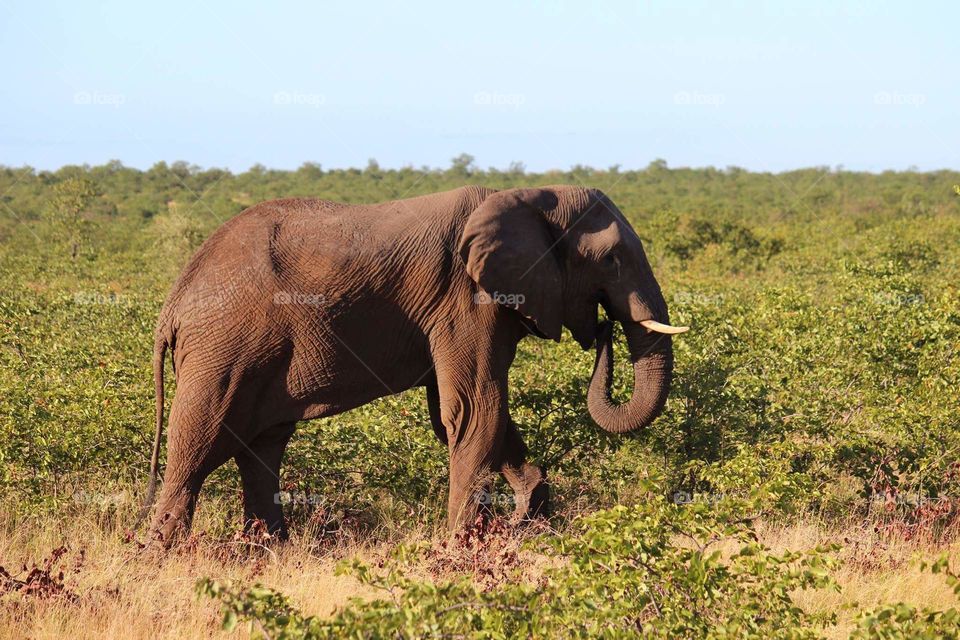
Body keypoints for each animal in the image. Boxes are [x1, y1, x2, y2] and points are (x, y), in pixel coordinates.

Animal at [140, 185, 687, 545]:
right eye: (612, 259)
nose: (603, 327)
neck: (529, 196)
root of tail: (172, 304)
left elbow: (469, 415)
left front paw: (527, 522)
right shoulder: (466, 298)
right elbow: (475, 408)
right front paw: (465, 545)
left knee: (261, 446)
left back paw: (268, 552)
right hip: (223, 346)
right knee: (199, 439)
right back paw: (164, 554)